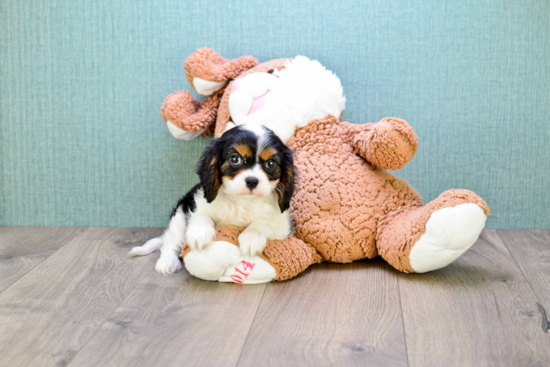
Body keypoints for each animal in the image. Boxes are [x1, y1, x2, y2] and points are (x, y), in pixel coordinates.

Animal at [131, 123, 296, 276]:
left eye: (271, 163)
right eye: (235, 159)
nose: (252, 181)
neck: (243, 200)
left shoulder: (283, 225)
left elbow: (262, 223)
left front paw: (251, 238)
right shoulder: (198, 203)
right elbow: (202, 216)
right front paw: (200, 234)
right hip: (178, 218)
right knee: (170, 244)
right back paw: (167, 262)